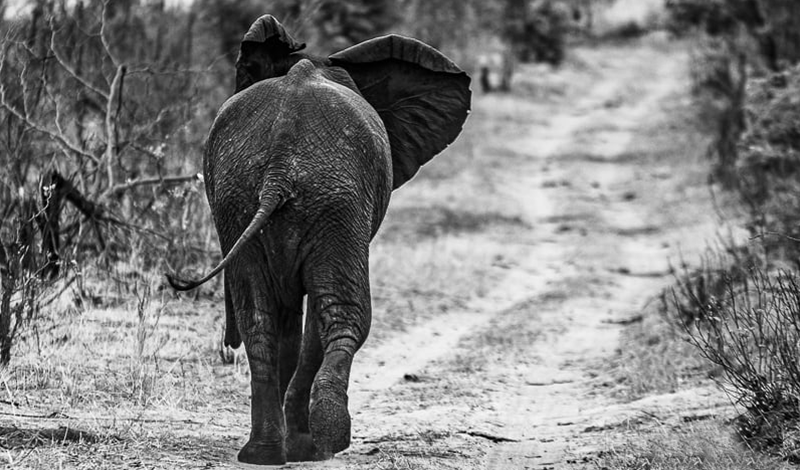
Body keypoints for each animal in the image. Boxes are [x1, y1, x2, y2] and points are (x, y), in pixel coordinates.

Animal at [167, 14, 471, 466]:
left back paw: (263, 453)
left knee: (261, 317)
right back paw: (324, 440)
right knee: (342, 315)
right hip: (333, 203)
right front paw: (305, 443)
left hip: (243, 198)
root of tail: (279, 163)